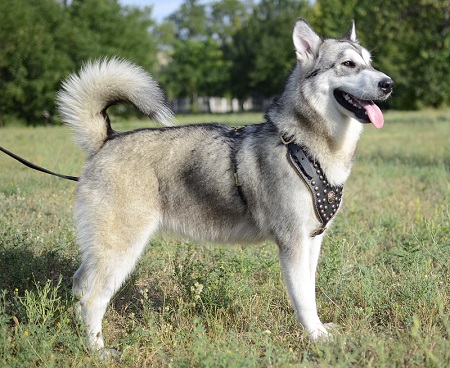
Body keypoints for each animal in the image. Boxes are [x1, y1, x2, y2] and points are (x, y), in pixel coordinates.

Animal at [57, 18, 394, 352]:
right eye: (348, 64)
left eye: (369, 62)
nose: (389, 83)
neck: (305, 147)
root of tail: (107, 140)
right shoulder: (293, 243)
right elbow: (303, 299)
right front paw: (316, 337)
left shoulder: (312, 240)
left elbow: (309, 291)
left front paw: (321, 329)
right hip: (121, 249)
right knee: (92, 299)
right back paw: (97, 350)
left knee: (79, 285)